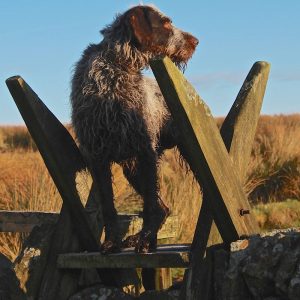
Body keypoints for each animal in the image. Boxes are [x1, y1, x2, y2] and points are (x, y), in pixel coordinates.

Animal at [69, 4, 198, 253]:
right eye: (165, 22)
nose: (196, 41)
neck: (115, 69)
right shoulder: (98, 158)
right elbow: (109, 207)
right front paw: (112, 242)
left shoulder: (146, 152)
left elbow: (148, 207)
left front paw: (147, 241)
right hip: (132, 169)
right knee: (162, 208)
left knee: (159, 206)